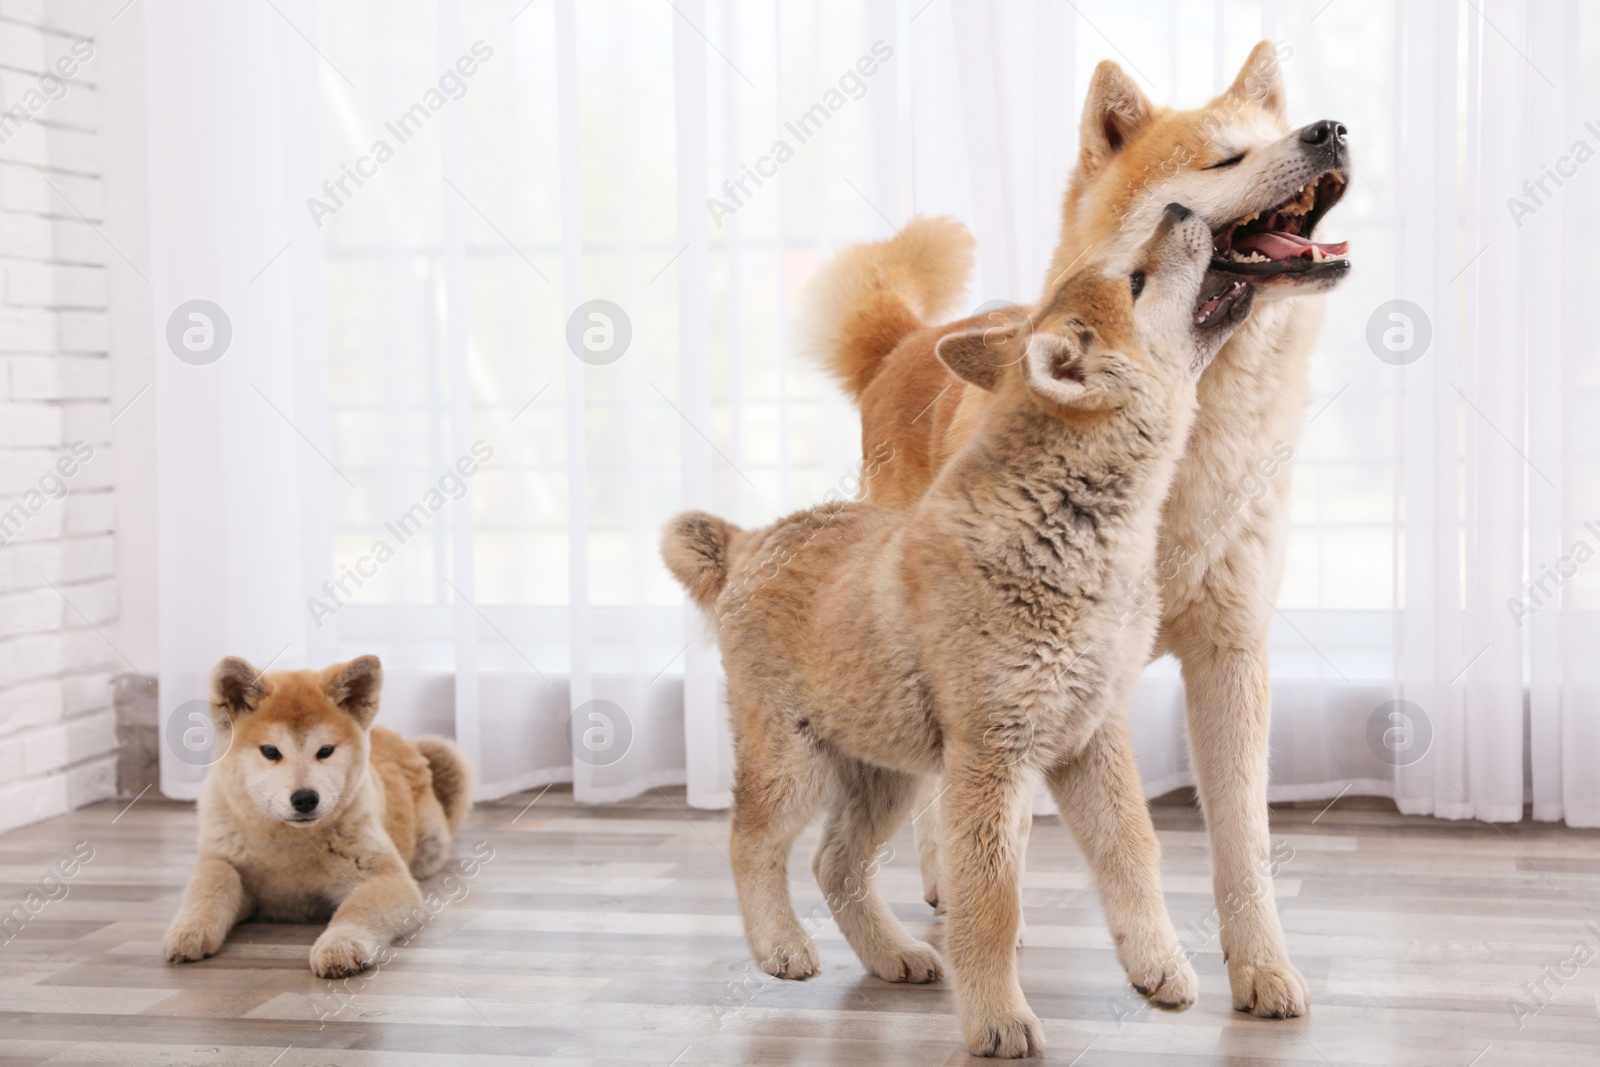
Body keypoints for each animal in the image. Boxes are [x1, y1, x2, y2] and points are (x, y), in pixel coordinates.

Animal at [164, 652, 470, 979]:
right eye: (270, 751)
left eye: (325, 751)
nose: (305, 798)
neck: (289, 845)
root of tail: (398, 737)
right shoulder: (220, 858)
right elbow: (212, 883)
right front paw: (190, 929)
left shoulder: (385, 877)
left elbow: (355, 910)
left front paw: (339, 945)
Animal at [659, 204, 1248, 1055]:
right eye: (1136, 280)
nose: (1178, 209)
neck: (1080, 532)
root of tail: (753, 539)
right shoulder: (990, 758)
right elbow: (991, 905)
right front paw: (999, 1019)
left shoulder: (1092, 736)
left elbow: (1134, 852)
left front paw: (1158, 964)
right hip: (795, 761)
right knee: (754, 843)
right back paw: (780, 945)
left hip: (887, 770)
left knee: (837, 866)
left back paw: (894, 953)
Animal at [800, 41, 1350, 1023]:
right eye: (1226, 159)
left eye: (1278, 132)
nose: (1329, 130)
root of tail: (907, 342)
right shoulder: (1075, 670)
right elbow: (1114, 831)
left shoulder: (1232, 653)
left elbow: (1242, 841)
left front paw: (1260, 967)